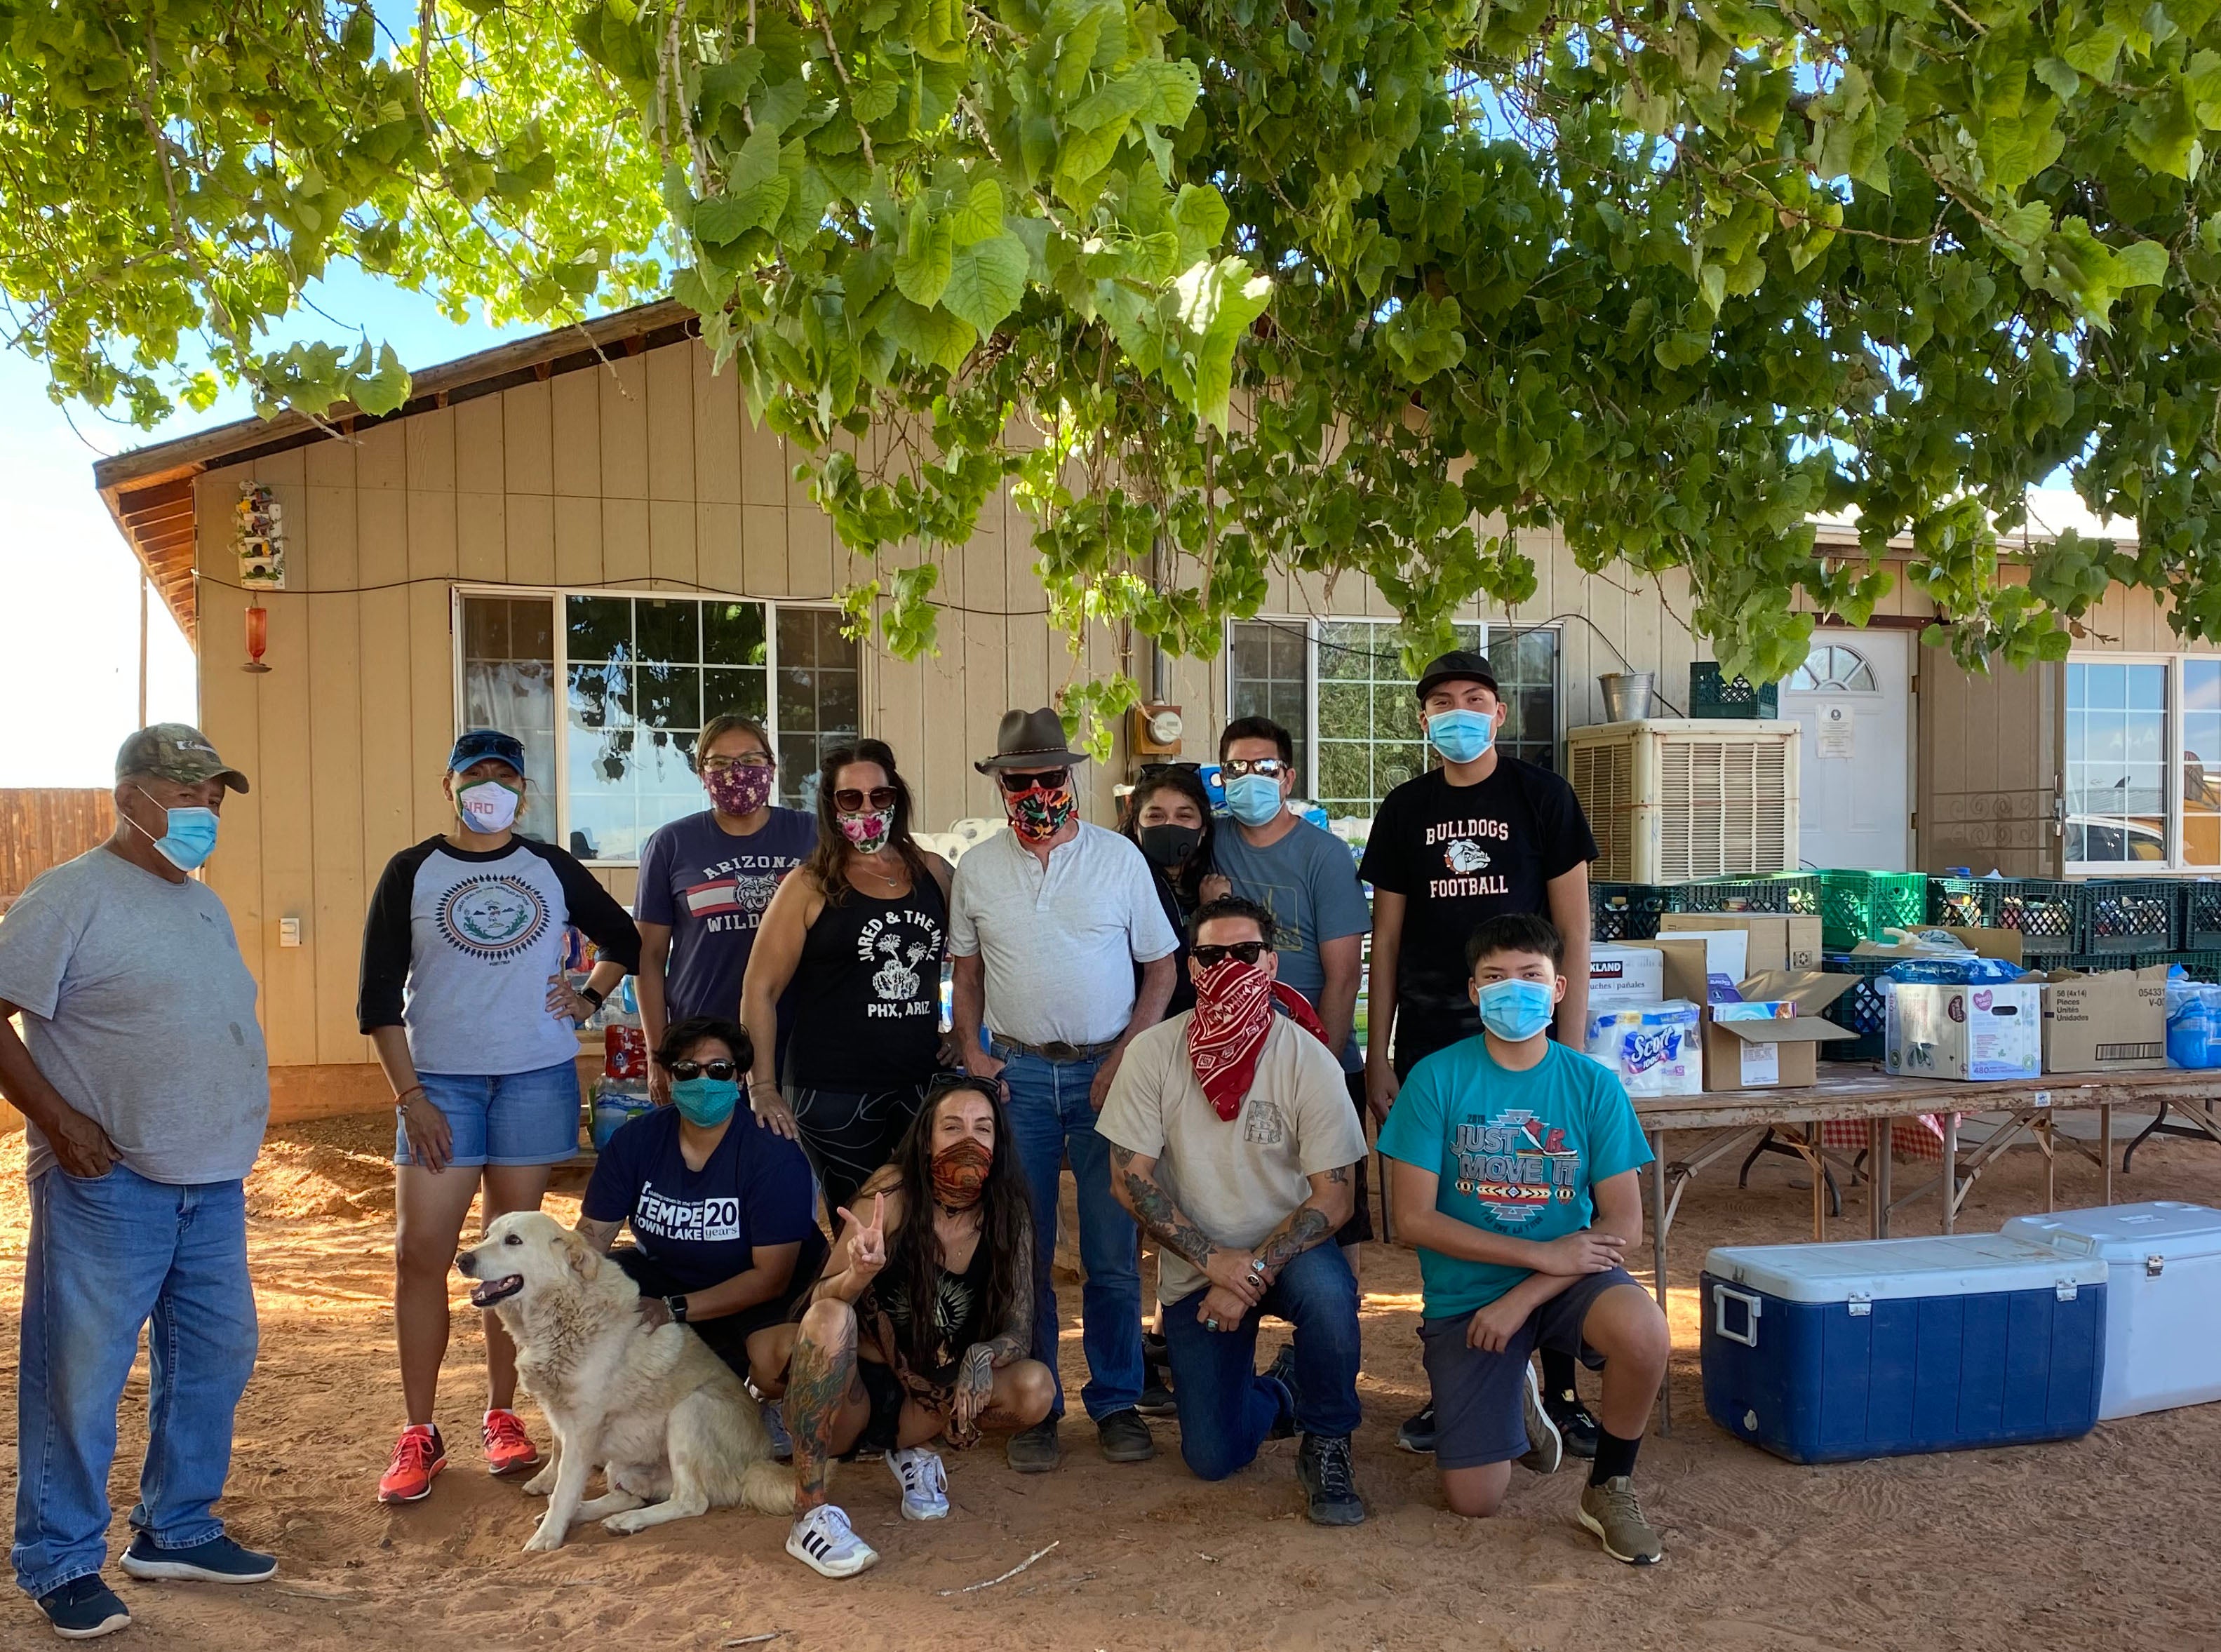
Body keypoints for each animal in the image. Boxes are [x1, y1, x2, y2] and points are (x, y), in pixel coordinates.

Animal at [455, 1216, 795, 1545]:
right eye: (486, 1235)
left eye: (513, 1240)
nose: (462, 1259)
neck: (565, 1312)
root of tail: (760, 1462)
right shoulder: (560, 1413)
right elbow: (557, 1455)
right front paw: (546, 1484)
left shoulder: (583, 1428)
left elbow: (566, 1489)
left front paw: (547, 1538)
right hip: (626, 1460)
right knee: (630, 1496)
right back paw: (599, 1515)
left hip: (690, 1410)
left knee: (690, 1501)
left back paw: (627, 1521)